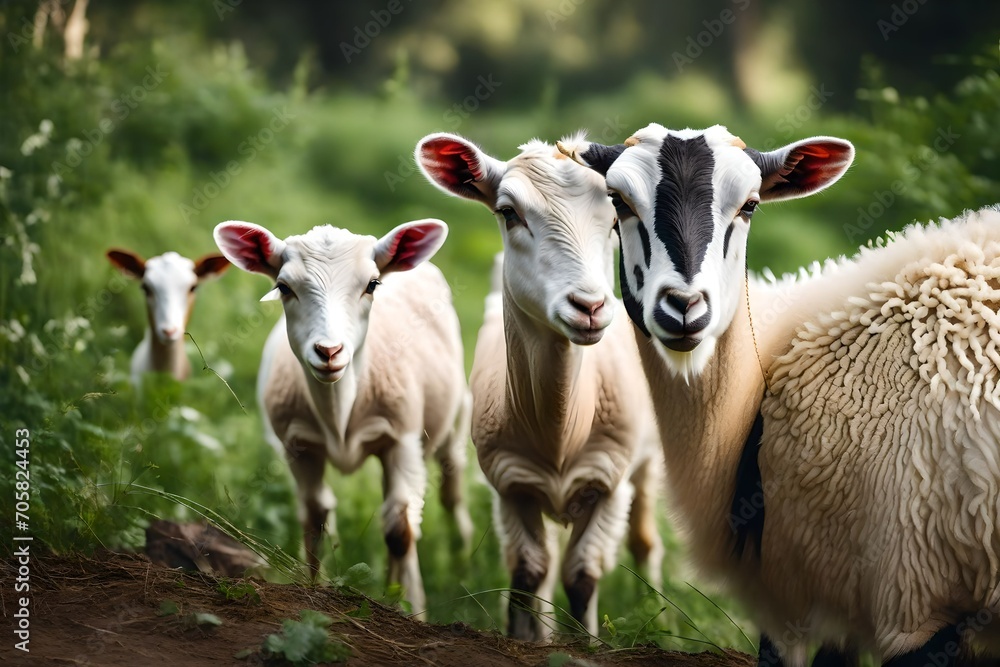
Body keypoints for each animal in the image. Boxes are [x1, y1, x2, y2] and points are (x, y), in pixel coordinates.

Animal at [213, 218, 472, 618]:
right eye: (283, 287)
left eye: (372, 284)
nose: (329, 351)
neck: (338, 411)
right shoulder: (298, 447)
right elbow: (314, 519)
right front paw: (314, 589)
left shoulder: (402, 439)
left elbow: (400, 531)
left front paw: (413, 609)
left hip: (454, 416)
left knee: (449, 485)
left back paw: (462, 559)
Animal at [416, 132, 664, 641]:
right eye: (509, 212)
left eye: (616, 218)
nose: (589, 306)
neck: (562, 426)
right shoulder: (511, 484)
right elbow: (529, 572)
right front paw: (525, 638)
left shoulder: (608, 480)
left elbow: (582, 574)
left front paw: (586, 643)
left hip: (646, 459)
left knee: (646, 538)